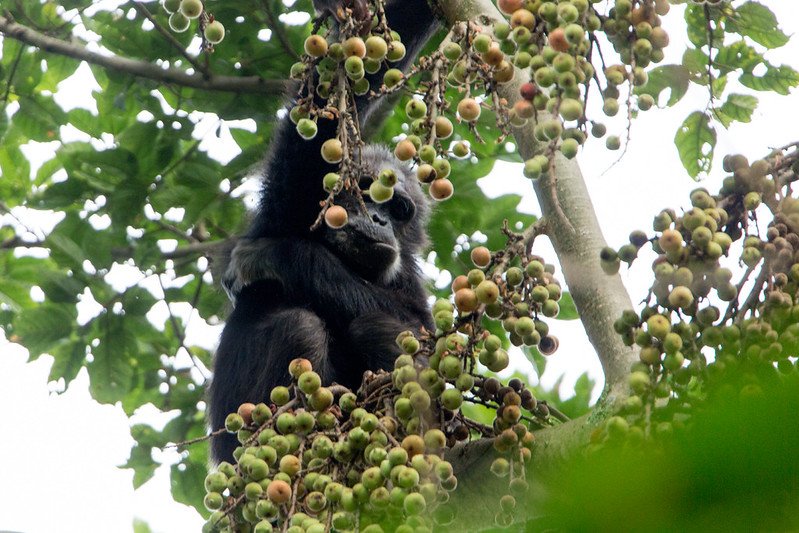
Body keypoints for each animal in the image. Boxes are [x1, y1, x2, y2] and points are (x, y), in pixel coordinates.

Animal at [208, 0, 440, 463]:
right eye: (365, 191)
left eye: (400, 209)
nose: (380, 219)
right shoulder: (293, 189)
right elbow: (328, 102)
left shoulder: (409, 278)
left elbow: (421, 329)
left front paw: (278, 258)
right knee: (299, 326)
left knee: (380, 327)